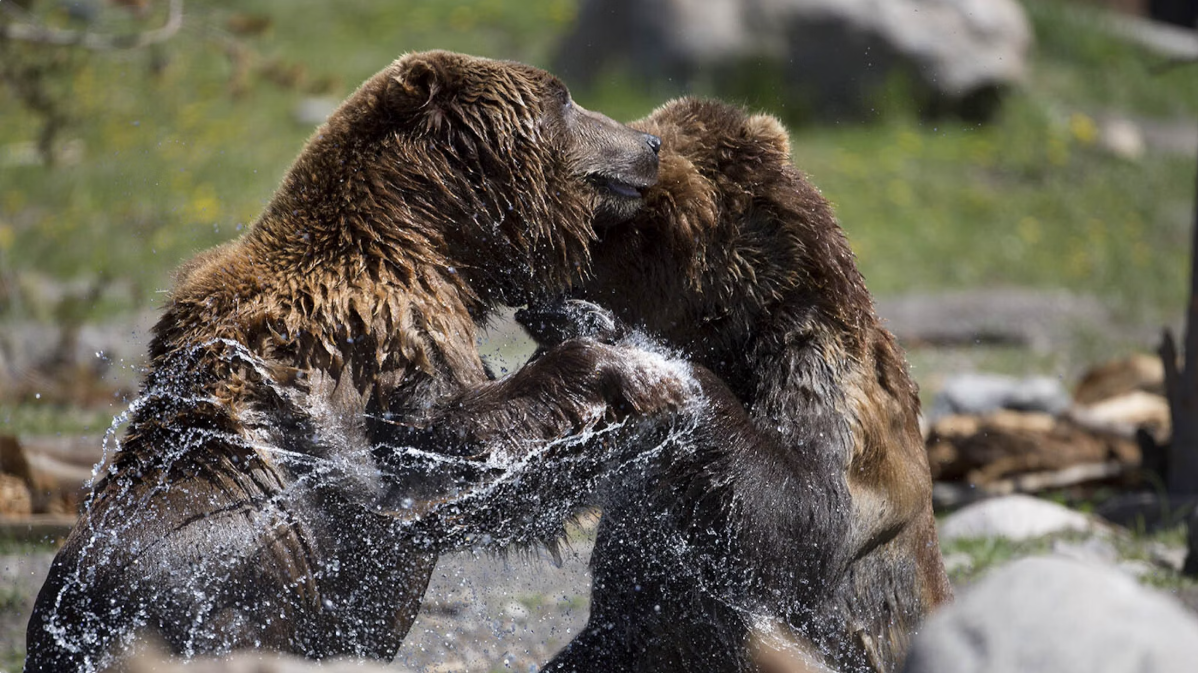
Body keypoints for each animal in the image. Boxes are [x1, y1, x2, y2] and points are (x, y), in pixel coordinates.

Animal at [25, 49, 685, 665]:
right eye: (565, 97)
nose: (650, 143)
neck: (427, 237)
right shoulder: (376, 344)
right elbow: (448, 441)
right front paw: (646, 378)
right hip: (214, 608)